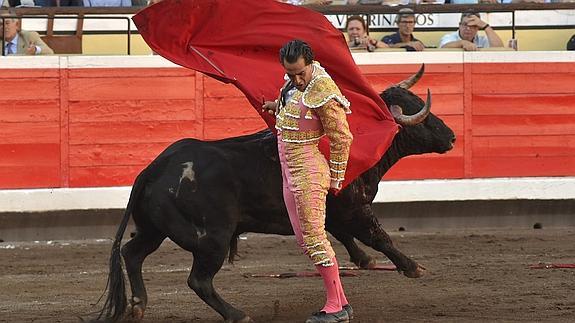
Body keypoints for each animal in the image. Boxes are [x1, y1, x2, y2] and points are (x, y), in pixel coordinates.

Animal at [93, 67, 454, 322]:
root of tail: (156, 167)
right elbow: (379, 236)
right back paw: (237, 314)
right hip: (212, 238)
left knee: (133, 253)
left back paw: (138, 306)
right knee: (198, 280)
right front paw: (412, 266)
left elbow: (342, 236)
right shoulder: (356, 208)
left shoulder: (335, 211)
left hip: (155, 228)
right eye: (419, 114)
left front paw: (365, 261)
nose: (451, 136)